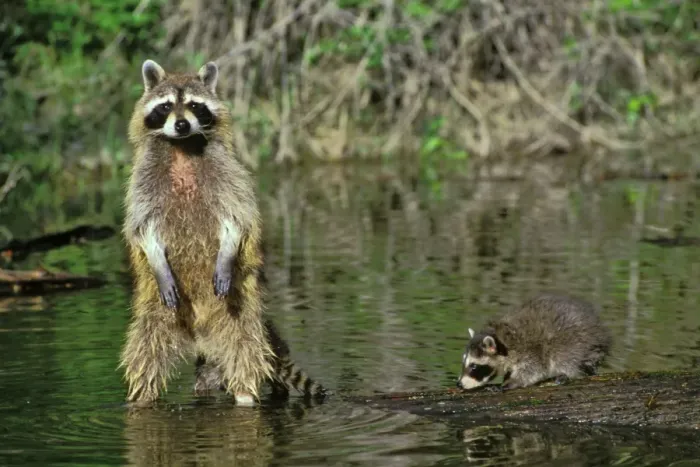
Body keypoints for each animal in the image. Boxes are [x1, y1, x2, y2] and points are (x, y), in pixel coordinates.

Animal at [120, 59, 274, 406]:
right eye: (165, 106)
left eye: (193, 105)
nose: (180, 125)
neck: (181, 147)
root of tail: (200, 333)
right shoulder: (143, 181)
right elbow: (142, 226)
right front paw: (156, 259)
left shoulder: (227, 171)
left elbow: (237, 217)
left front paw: (227, 253)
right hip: (157, 311)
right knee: (145, 353)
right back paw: (141, 399)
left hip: (238, 309)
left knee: (245, 349)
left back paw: (245, 395)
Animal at [457, 293, 611, 391]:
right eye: (464, 362)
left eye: (474, 366)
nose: (459, 384)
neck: (502, 339)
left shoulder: (531, 350)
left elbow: (532, 370)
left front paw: (510, 383)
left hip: (576, 341)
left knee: (566, 357)